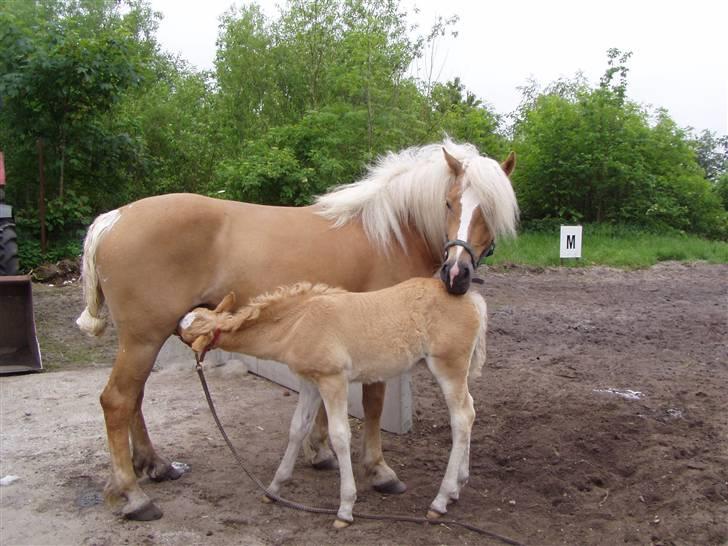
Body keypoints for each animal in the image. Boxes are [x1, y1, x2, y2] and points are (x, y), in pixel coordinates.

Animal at [175, 278, 490, 524]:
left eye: (184, 335)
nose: (172, 328)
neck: (298, 323)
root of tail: (472, 299)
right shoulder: (310, 383)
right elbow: (297, 428)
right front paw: (274, 488)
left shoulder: (333, 380)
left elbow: (340, 436)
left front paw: (345, 508)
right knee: (470, 411)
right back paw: (457, 486)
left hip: (449, 367)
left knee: (461, 418)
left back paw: (440, 500)